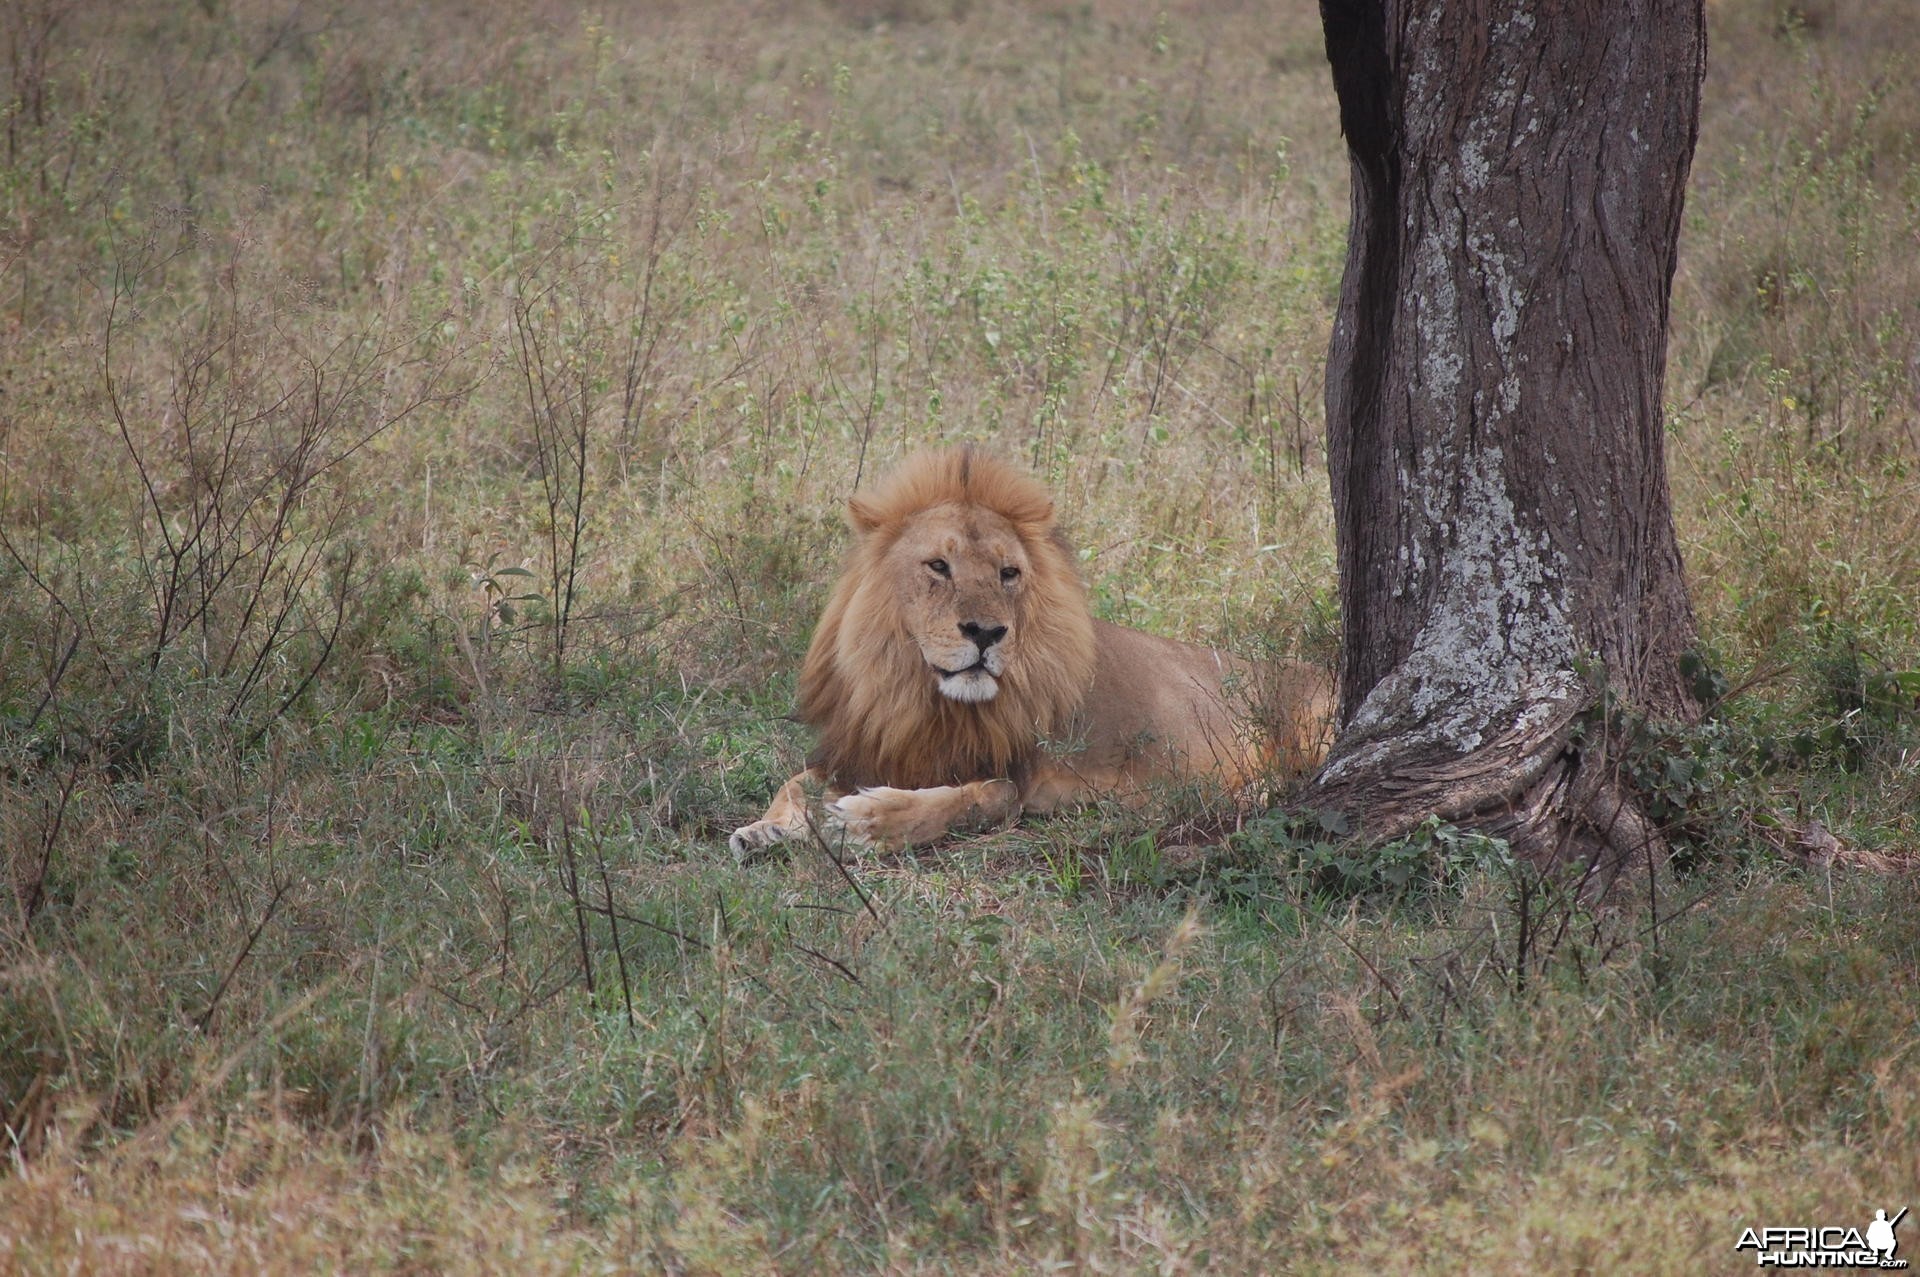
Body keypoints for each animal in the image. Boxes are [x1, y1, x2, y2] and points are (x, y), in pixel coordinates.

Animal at [729, 447, 1336, 856]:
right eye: (939, 566)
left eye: (1008, 573)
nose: (986, 633)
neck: (918, 693)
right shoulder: (864, 743)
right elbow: (794, 780)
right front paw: (763, 829)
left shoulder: (1019, 773)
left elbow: (978, 799)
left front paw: (860, 820)